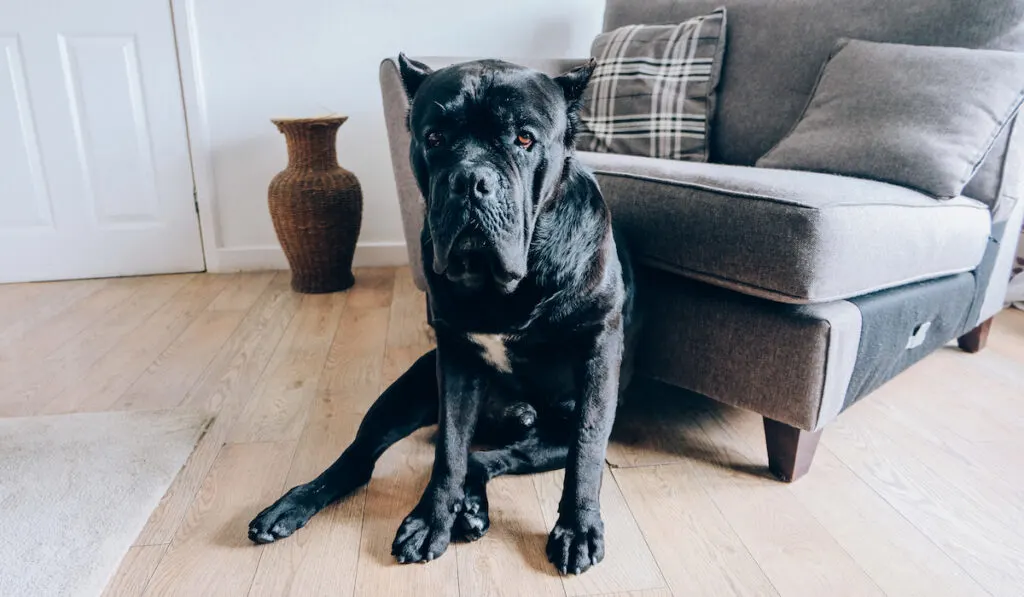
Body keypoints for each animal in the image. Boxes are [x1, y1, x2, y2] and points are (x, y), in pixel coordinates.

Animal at [246, 54, 630, 573]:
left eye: (524, 139)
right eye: (434, 138)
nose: (470, 180)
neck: (503, 284)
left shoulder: (598, 356)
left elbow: (586, 449)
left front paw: (577, 528)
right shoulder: (455, 361)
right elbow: (449, 449)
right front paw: (432, 520)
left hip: (553, 430)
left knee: (494, 458)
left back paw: (473, 507)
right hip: (408, 389)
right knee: (362, 458)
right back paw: (293, 505)